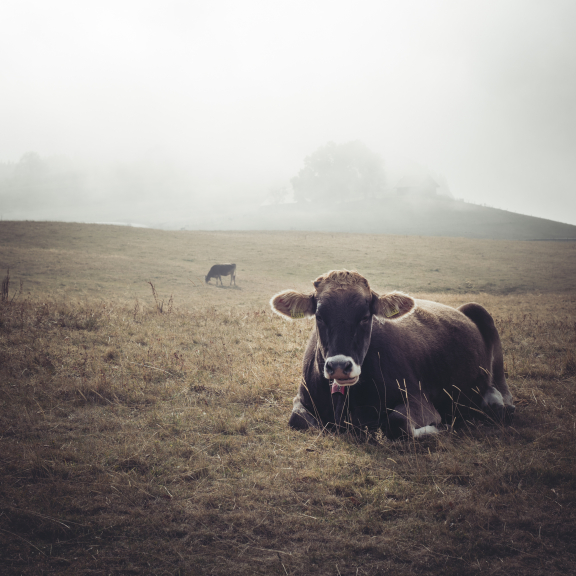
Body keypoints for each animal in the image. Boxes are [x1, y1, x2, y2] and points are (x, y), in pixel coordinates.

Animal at [272, 272, 516, 438]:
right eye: (320, 316)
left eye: (365, 316)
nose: (340, 366)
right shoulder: (302, 398)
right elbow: (297, 420)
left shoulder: (419, 399)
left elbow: (397, 423)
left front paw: (440, 427)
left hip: (482, 315)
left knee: (504, 396)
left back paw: (494, 401)